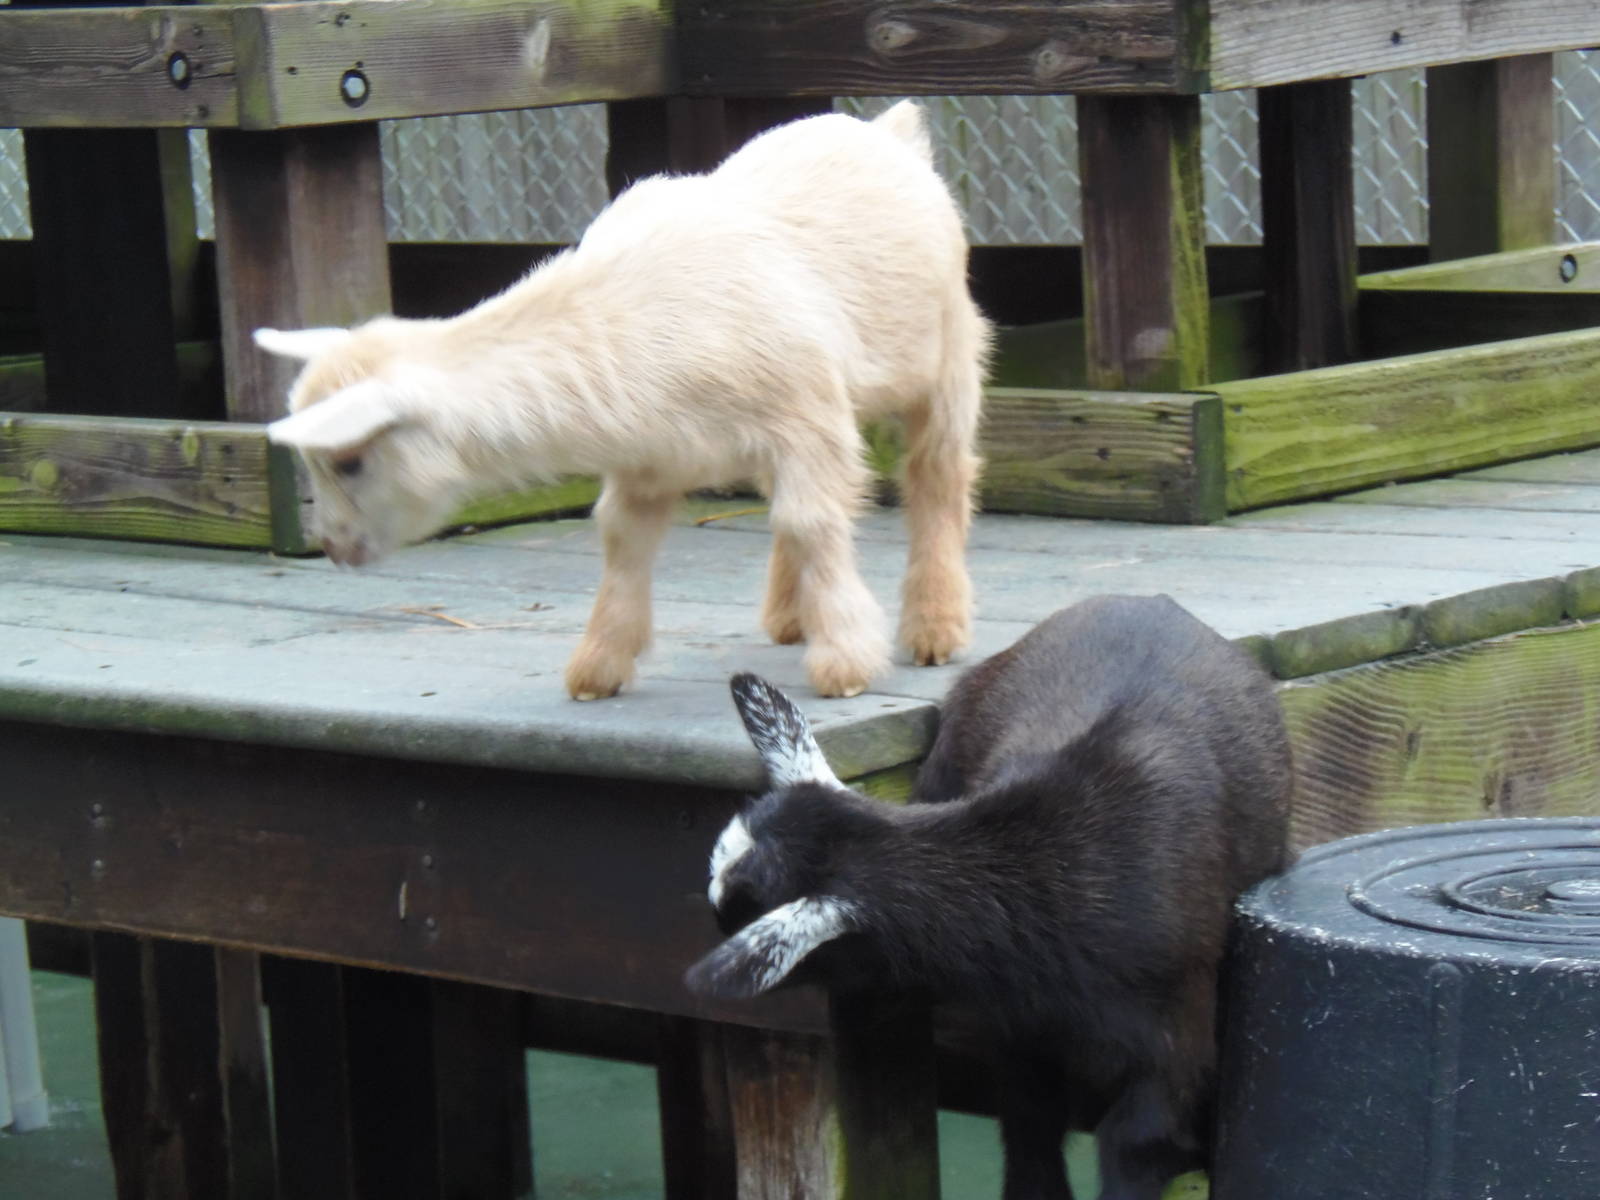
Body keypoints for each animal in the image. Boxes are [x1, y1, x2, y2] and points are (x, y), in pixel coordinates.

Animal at [257, 101, 990, 701]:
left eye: (350, 461)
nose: (335, 548)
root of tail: (886, 131)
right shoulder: (653, 457)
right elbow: (622, 538)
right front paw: (599, 665)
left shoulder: (804, 418)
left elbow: (813, 522)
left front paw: (845, 662)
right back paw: (790, 617)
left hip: (949, 350)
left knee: (936, 474)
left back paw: (934, 625)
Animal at [686, 595, 1293, 1200]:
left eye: (731, 914)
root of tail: (1145, 600)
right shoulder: (1021, 1028)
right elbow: (1029, 1123)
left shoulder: (1175, 1037)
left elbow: (1138, 1139)